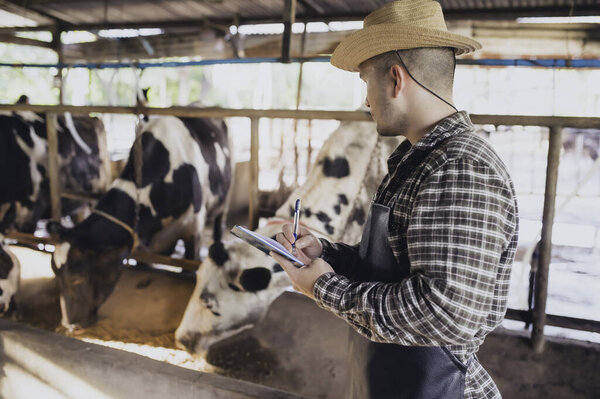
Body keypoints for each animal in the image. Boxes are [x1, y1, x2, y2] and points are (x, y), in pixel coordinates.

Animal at [47, 114, 232, 330]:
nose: (69, 324)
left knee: (219, 224)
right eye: (54, 273)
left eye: (76, 278)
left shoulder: (193, 229)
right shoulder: (144, 243)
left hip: (223, 201)